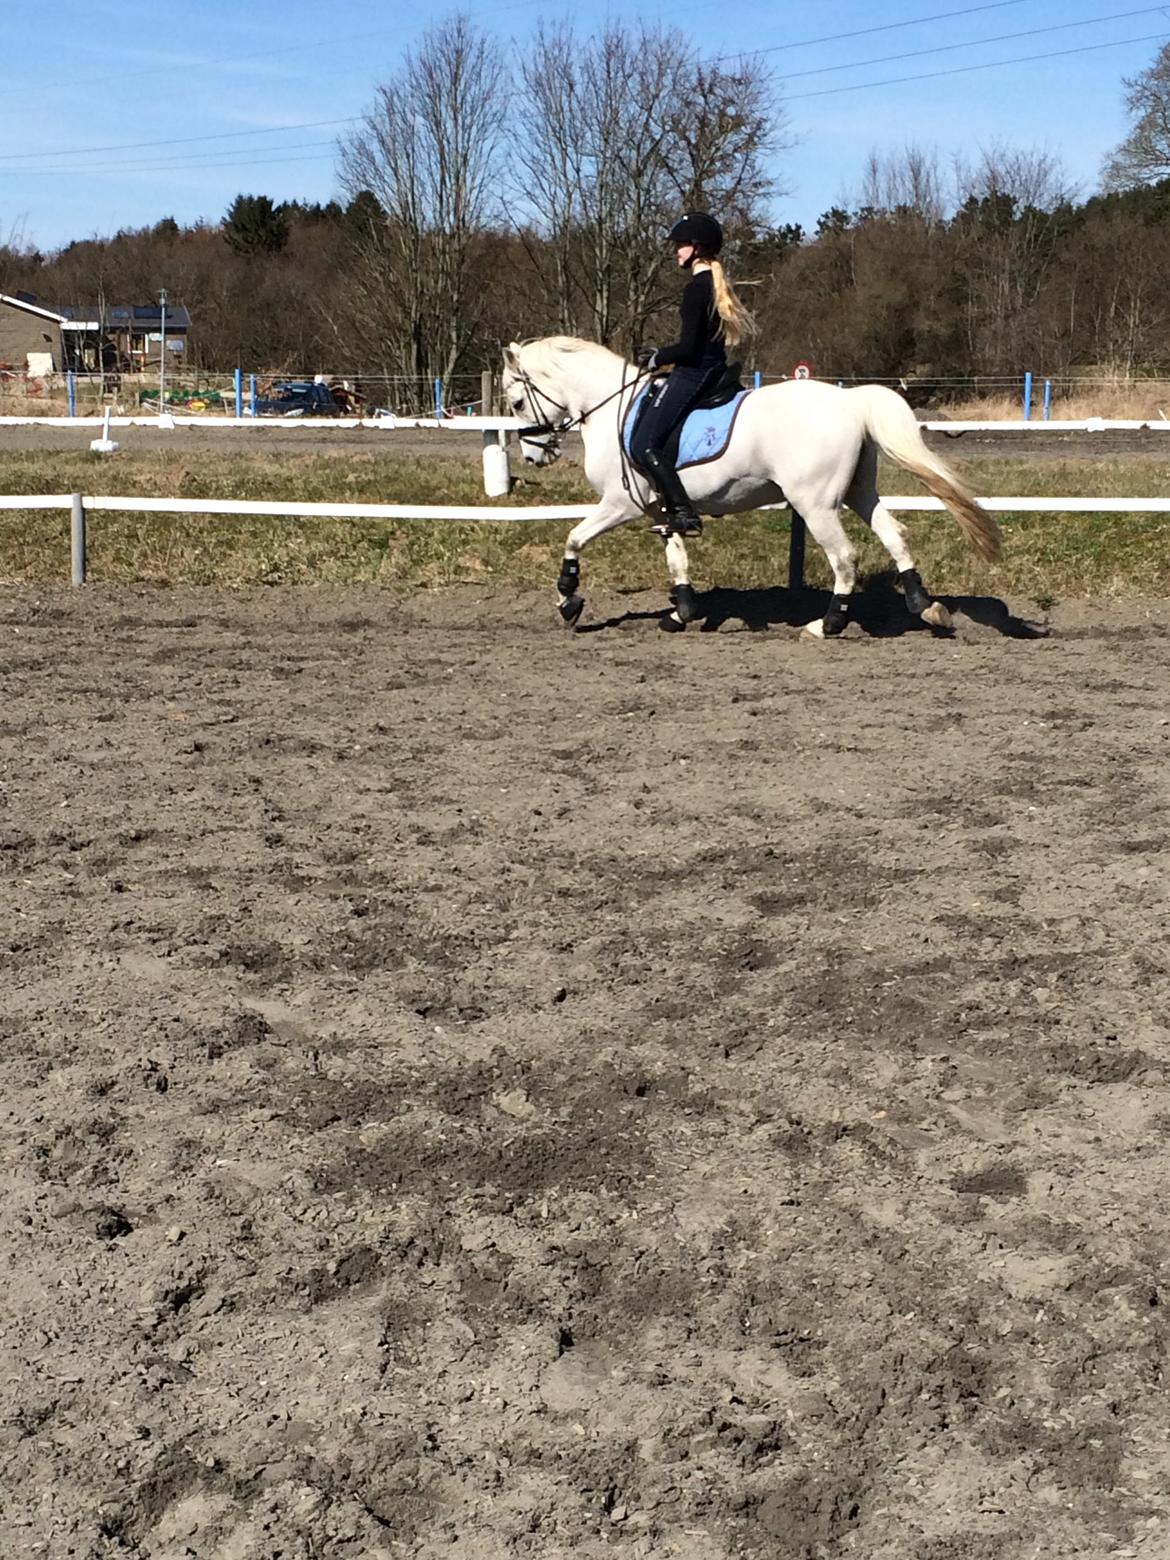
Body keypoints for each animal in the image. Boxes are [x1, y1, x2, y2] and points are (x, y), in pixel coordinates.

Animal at [501, 337, 1001, 635]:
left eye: (517, 401)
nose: (534, 456)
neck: (614, 409)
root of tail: (849, 401)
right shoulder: (663, 511)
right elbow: (677, 558)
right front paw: (681, 612)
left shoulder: (621, 504)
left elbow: (574, 538)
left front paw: (568, 600)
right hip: (859, 493)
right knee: (895, 535)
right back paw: (925, 605)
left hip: (816, 504)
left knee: (844, 557)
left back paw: (827, 624)